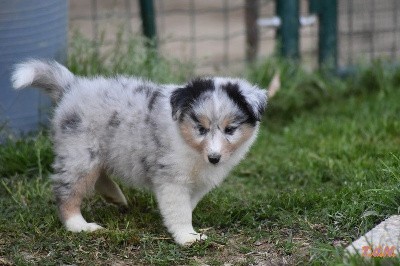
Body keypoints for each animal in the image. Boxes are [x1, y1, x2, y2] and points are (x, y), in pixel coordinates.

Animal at [10, 59, 268, 245]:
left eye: (230, 129)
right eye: (200, 128)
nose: (214, 158)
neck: (188, 142)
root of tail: (72, 88)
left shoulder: (198, 183)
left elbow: (188, 205)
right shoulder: (172, 179)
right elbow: (180, 211)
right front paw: (188, 237)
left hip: (92, 153)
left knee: (98, 175)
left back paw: (115, 196)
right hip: (80, 154)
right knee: (68, 192)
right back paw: (79, 225)